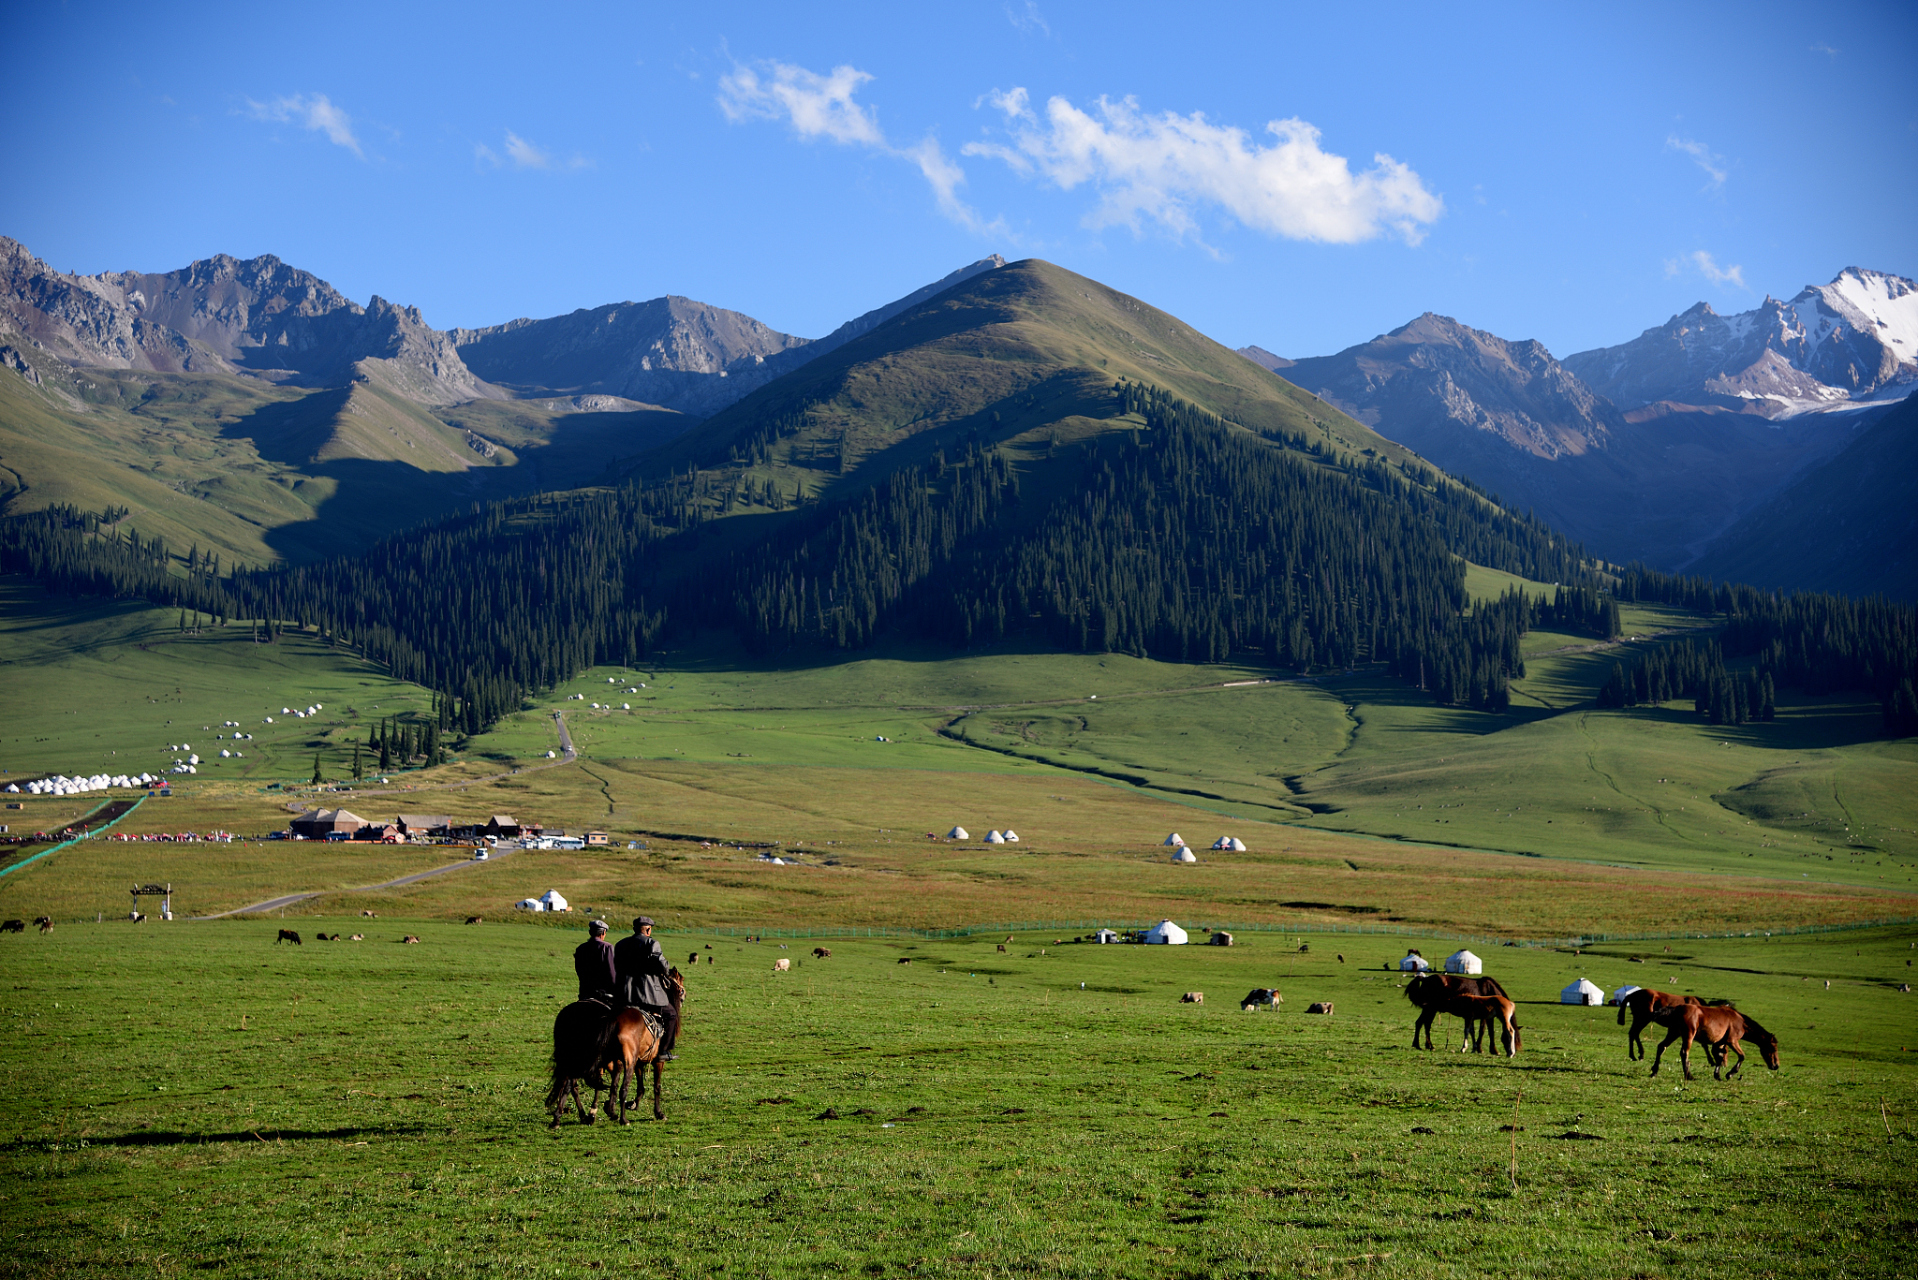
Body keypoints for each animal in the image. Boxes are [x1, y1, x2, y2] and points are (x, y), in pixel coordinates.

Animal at [1649, 997, 1779, 1082]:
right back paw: (1689, 1076)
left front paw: (1718, 1075)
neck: (1740, 1022)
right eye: (1773, 1048)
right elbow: (1742, 1056)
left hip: (1673, 1033)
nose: (1776, 1066)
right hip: (1688, 1035)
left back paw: (1654, 1072)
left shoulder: (1720, 1043)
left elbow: (1719, 1058)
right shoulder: (1732, 1041)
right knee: (1684, 1053)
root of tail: (1676, 1009)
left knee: (1661, 1047)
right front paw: (1730, 1074)